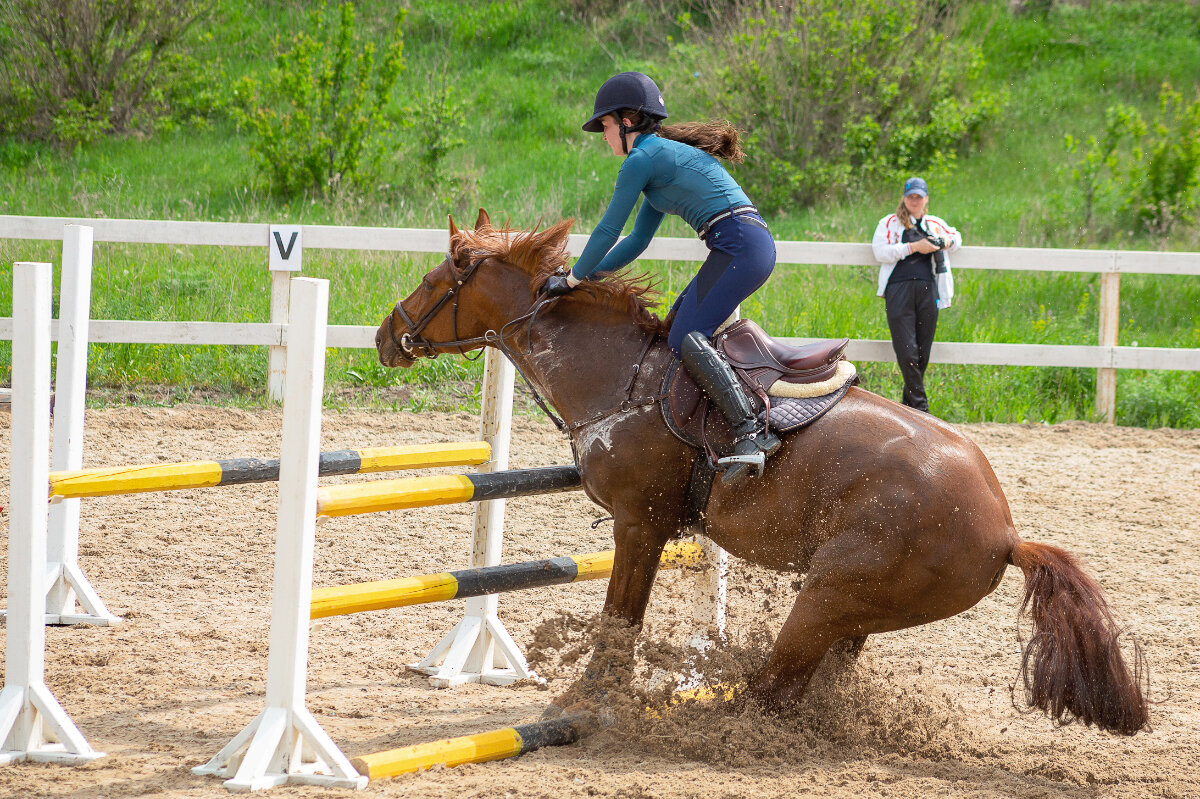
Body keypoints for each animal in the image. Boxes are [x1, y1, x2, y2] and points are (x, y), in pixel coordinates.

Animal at [376, 211, 1152, 734]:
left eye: (436, 277)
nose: (386, 336)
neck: (621, 373)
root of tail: (1007, 531)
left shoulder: (640, 523)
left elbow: (619, 619)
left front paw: (589, 701)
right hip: (856, 612)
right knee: (808, 685)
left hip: (829, 593)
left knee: (774, 687)